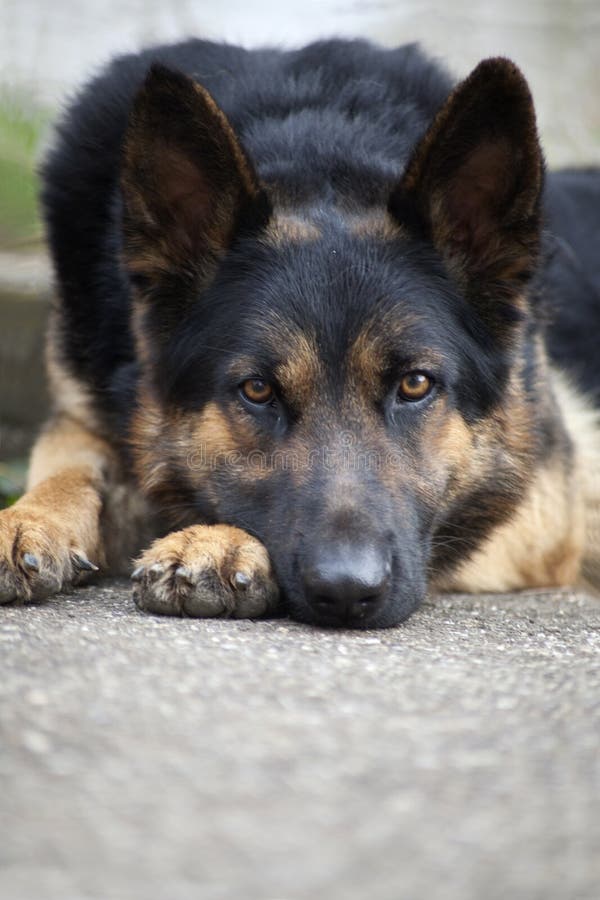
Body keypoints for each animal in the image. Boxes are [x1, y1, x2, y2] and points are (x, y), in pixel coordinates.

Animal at [1, 37, 600, 624]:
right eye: (257, 390)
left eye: (415, 385)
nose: (347, 593)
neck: (319, 143)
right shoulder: (82, 413)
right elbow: (69, 466)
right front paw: (27, 518)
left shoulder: (549, 508)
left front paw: (216, 541)